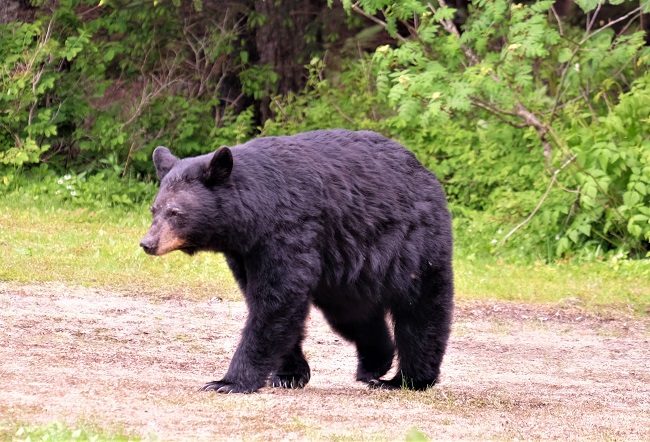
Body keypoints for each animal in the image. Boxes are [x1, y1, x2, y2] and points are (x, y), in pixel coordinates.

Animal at [138, 129, 450, 392]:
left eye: (175, 212)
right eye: (154, 209)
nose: (148, 243)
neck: (255, 215)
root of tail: (425, 172)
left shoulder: (288, 230)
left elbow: (277, 299)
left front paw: (228, 381)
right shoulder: (245, 252)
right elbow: (266, 300)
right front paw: (289, 375)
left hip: (413, 244)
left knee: (421, 309)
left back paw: (408, 379)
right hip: (346, 273)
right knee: (353, 315)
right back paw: (374, 364)